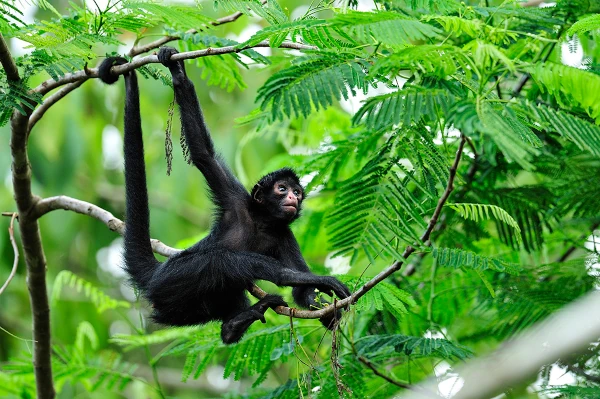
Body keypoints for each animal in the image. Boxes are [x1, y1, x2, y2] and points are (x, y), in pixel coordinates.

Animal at [97, 48, 352, 346]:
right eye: (282, 189)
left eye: (297, 192)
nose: (293, 198)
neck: (261, 221)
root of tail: (156, 274)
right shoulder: (235, 200)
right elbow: (202, 153)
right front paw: (178, 74)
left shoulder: (284, 234)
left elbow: (302, 294)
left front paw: (325, 310)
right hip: (172, 279)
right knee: (222, 261)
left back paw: (234, 325)